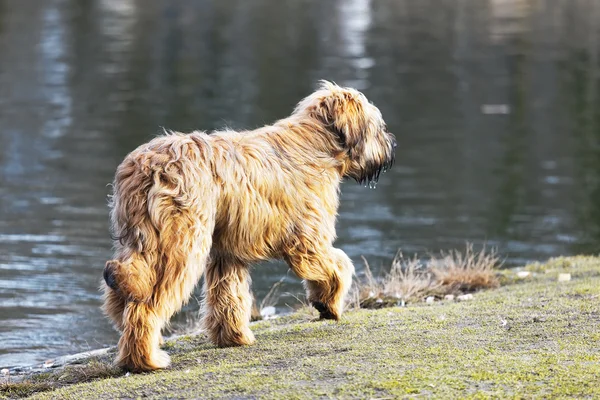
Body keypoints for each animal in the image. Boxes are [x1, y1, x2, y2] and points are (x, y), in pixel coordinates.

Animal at [102, 81, 394, 372]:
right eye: (378, 126)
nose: (393, 145)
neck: (319, 143)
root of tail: (149, 167)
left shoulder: (227, 252)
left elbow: (228, 296)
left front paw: (234, 337)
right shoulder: (308, 241)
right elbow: (338, 264)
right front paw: (329, 303)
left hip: (142, 238)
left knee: (125, 289)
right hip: (179, 244)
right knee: (147, 306)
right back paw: (145, 359)